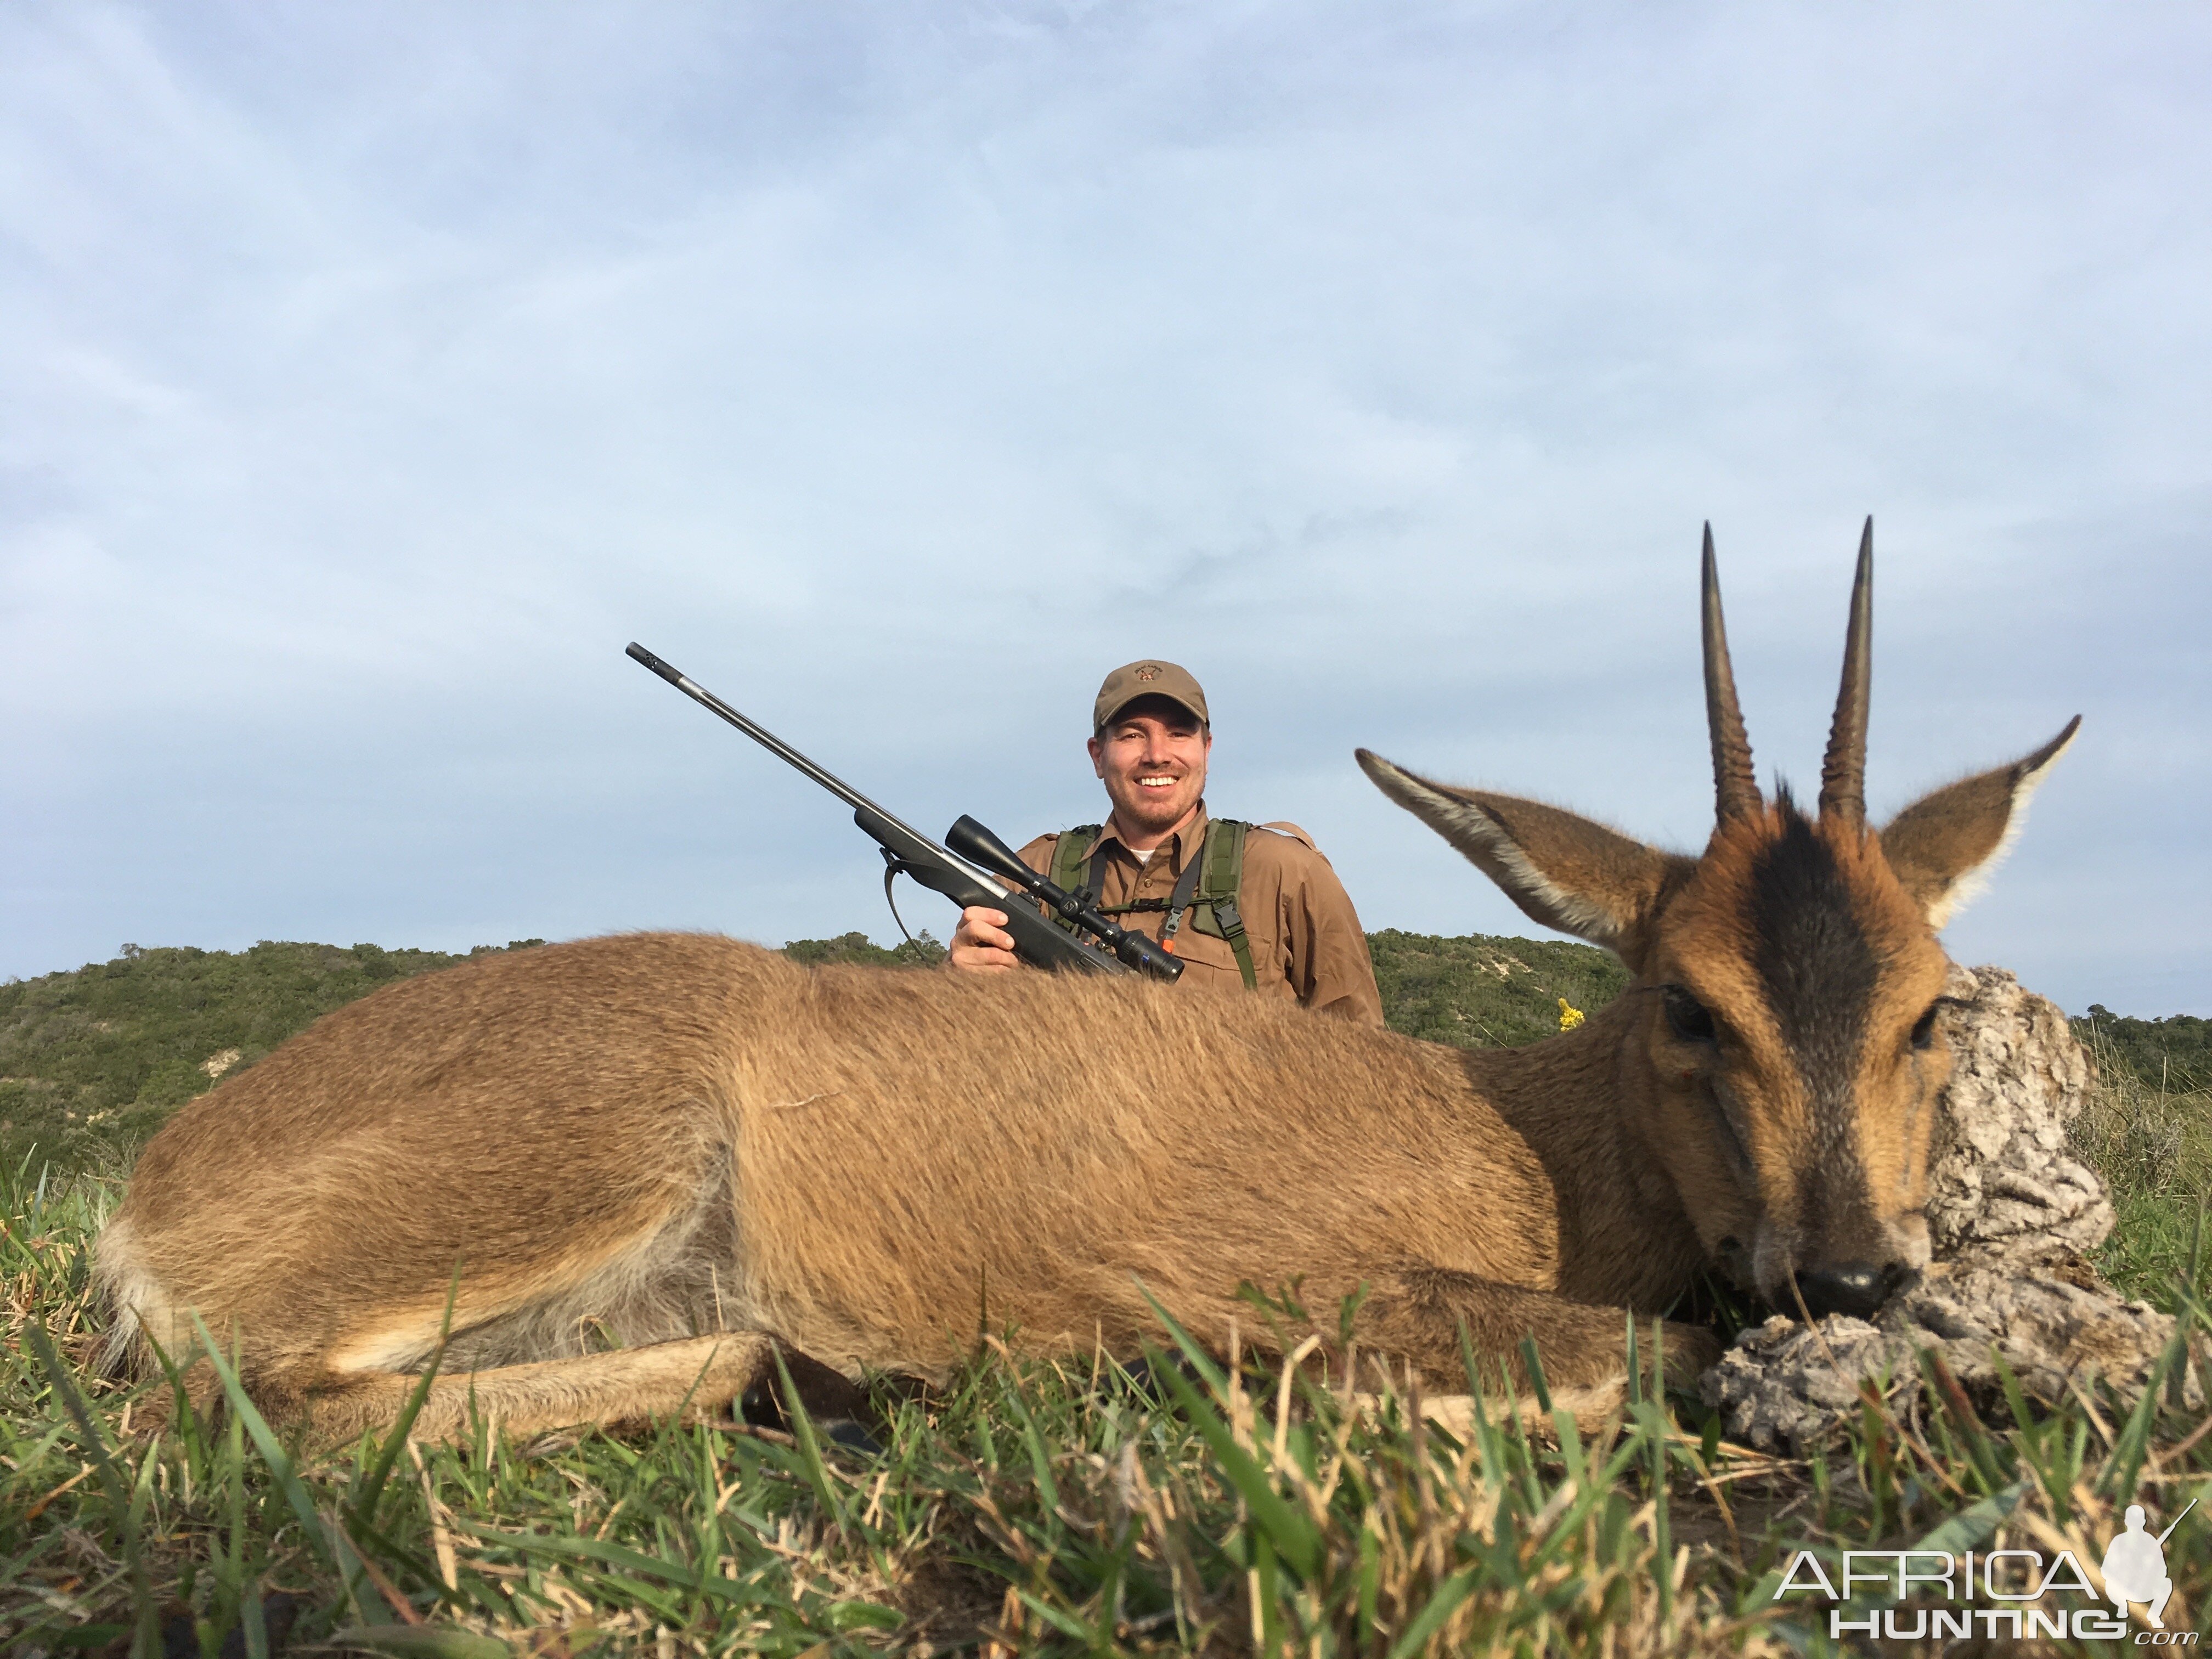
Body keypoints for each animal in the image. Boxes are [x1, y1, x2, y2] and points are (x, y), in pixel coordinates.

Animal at [99, 520, 2070, 1442]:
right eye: (1687, 1003)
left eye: (1931, 1006)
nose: (1848, 1273)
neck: (1519, 1140)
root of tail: (149, 1191)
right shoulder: (1259, 1268)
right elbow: (1639, 1346)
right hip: (596, 1154)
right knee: (255, 1405)